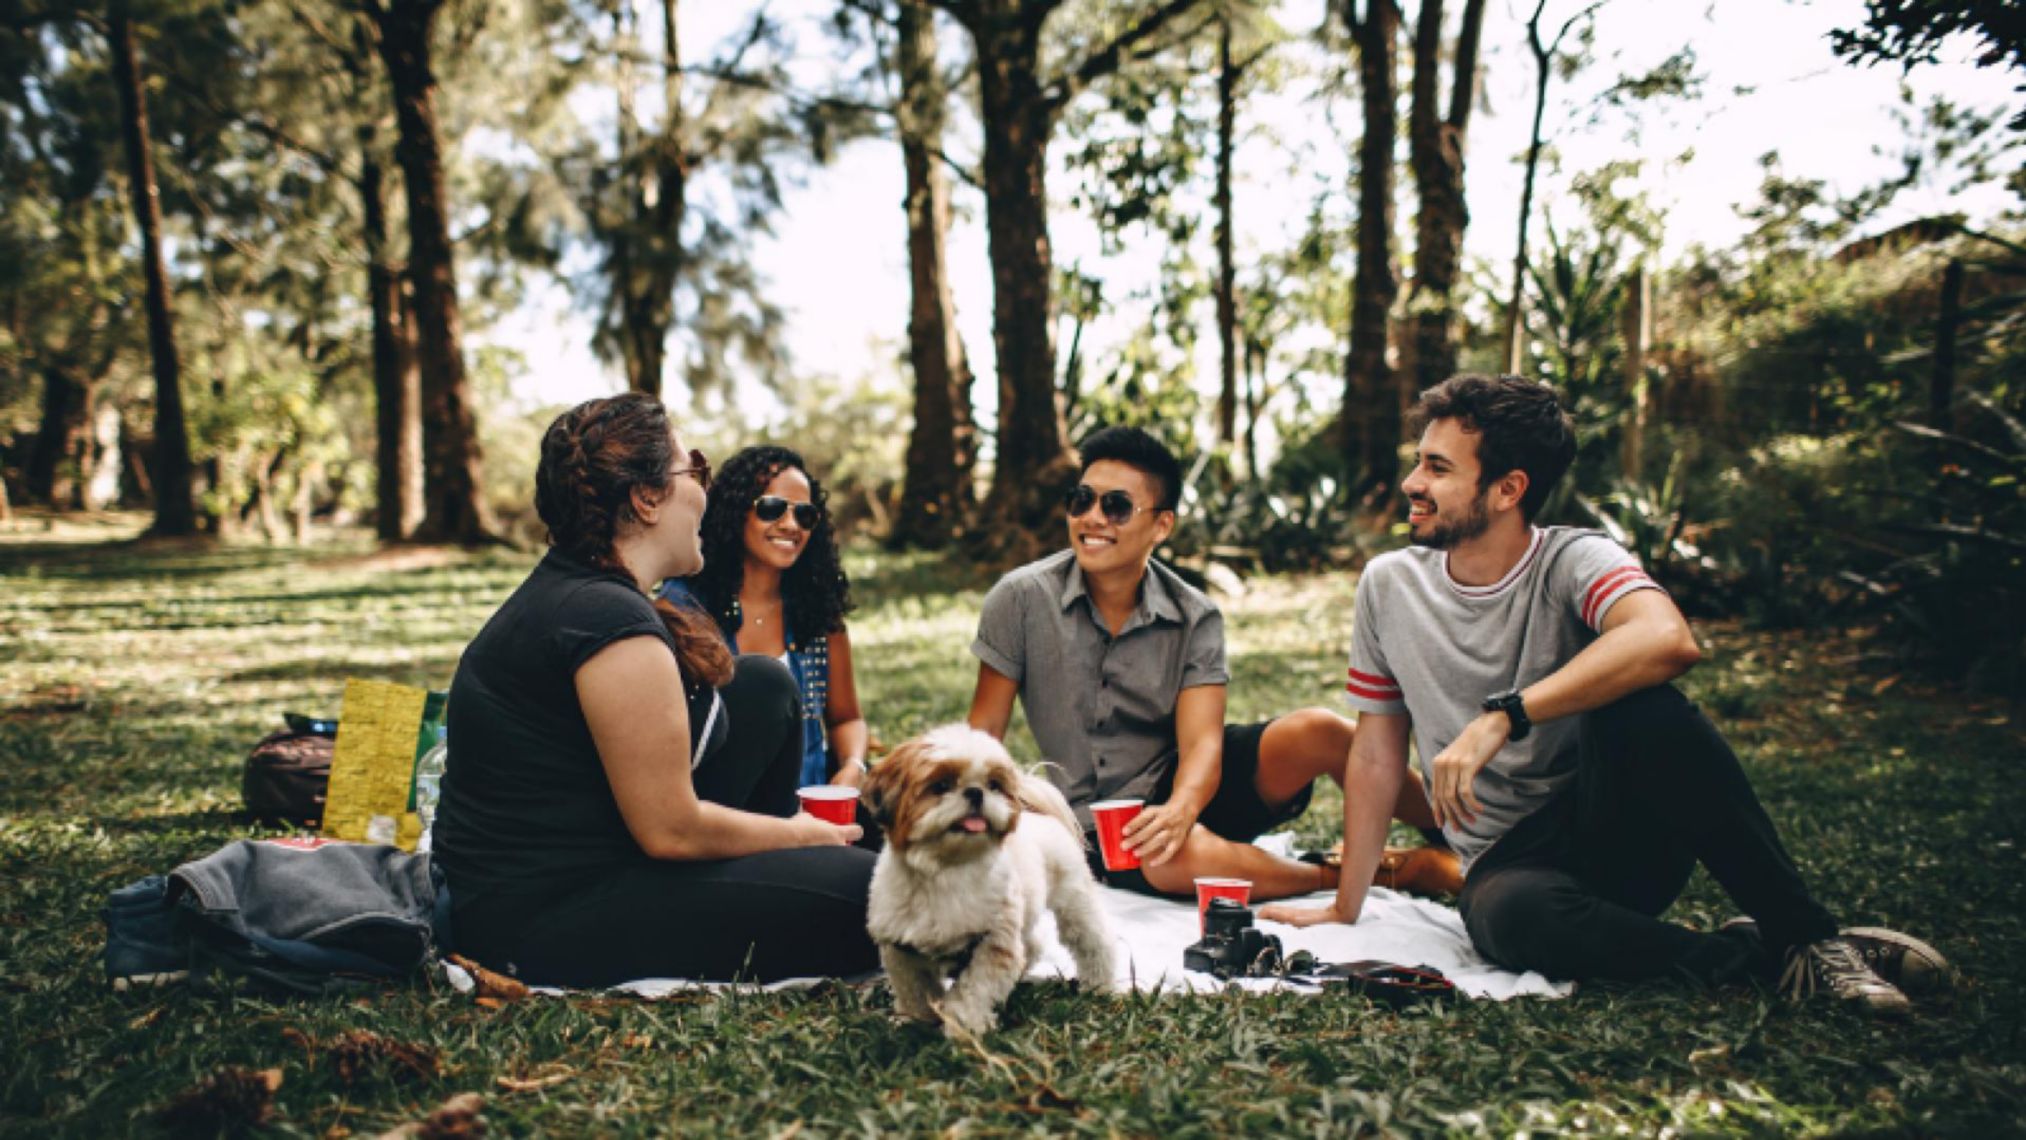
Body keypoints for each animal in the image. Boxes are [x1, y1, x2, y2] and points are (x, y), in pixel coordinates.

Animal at [859, 728, 1118, 1036]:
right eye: (941, 785)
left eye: (993, 785)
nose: (975, 792)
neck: (946, 870)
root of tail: (1039, 814)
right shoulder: (901, 948)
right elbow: (915, 989)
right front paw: (915, 1020)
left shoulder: (994, 941)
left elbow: (974, 989)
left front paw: (964, 1026)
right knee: (1031, 946)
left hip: (1074, 901)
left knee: (1094, 942)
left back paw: (1100, 986)